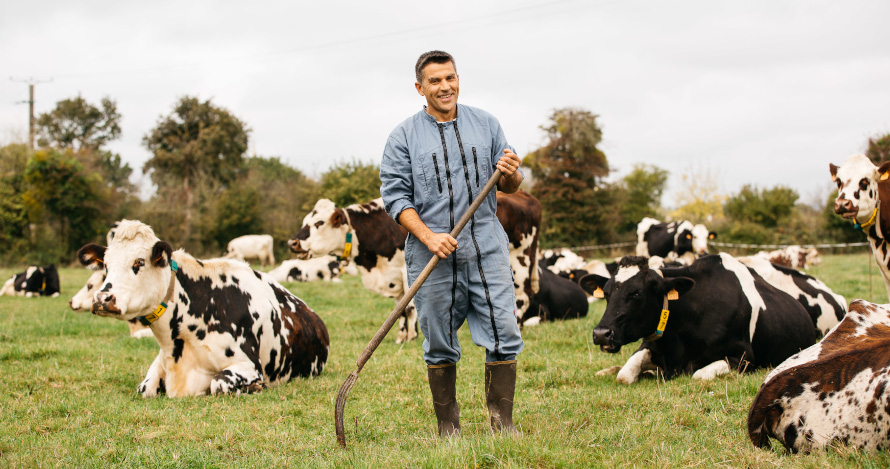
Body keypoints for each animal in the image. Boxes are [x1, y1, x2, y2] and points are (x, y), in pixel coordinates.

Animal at [77, 219, 330, 394]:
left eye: (139, 262)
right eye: (106, 266)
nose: (102, 298)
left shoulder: (248, 365)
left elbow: (219, 382)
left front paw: (256, 387)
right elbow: (145, 388)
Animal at [580, 256, 816, 384]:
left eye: (636, 293)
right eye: (606, 293)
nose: (601, 334)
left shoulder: (745, 356)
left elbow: (699, 375)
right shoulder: (652, 343)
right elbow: (624, 374)